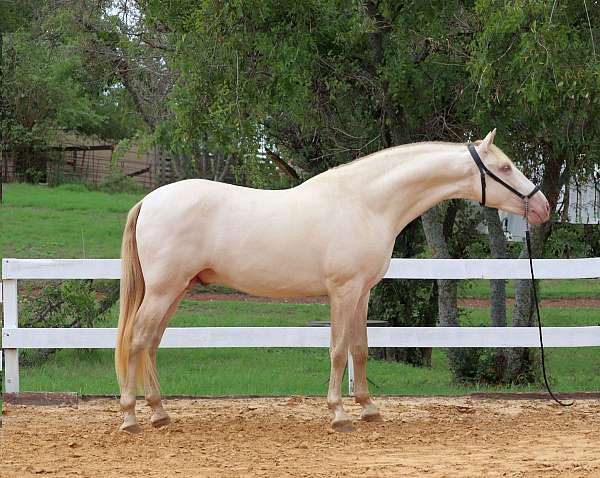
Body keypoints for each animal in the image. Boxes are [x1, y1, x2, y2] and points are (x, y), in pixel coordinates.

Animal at [115, 130, 552, 434]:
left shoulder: (363, 293)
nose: (544, 207)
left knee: (151, 342)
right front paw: (339, 414)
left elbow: (360, 348)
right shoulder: (343, 291)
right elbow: (339, 350)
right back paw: (131, 417)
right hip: (164, 290)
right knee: (138, 339)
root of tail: (150, 200)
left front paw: (369, 408)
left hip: (176, 290)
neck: (366, 203)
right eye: (505, 167)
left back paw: (159, 412)